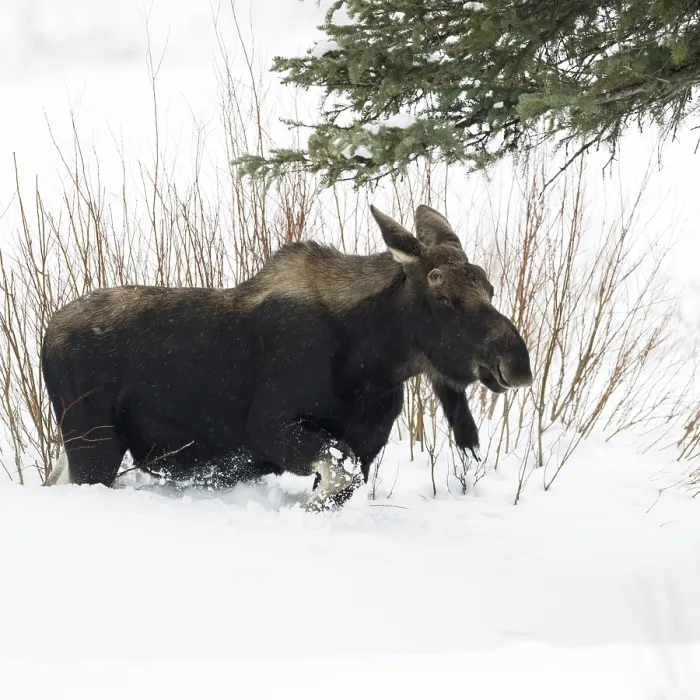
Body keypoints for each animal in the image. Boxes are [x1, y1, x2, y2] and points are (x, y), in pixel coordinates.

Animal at [41, 204, 533, 511]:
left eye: (489, 287)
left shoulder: (366, 445)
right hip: (94, 445)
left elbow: (342, 483)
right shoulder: (269, 427)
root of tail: (46, 335)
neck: (373, 363)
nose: (517, 363)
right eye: (443, 295)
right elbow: (338, 478)